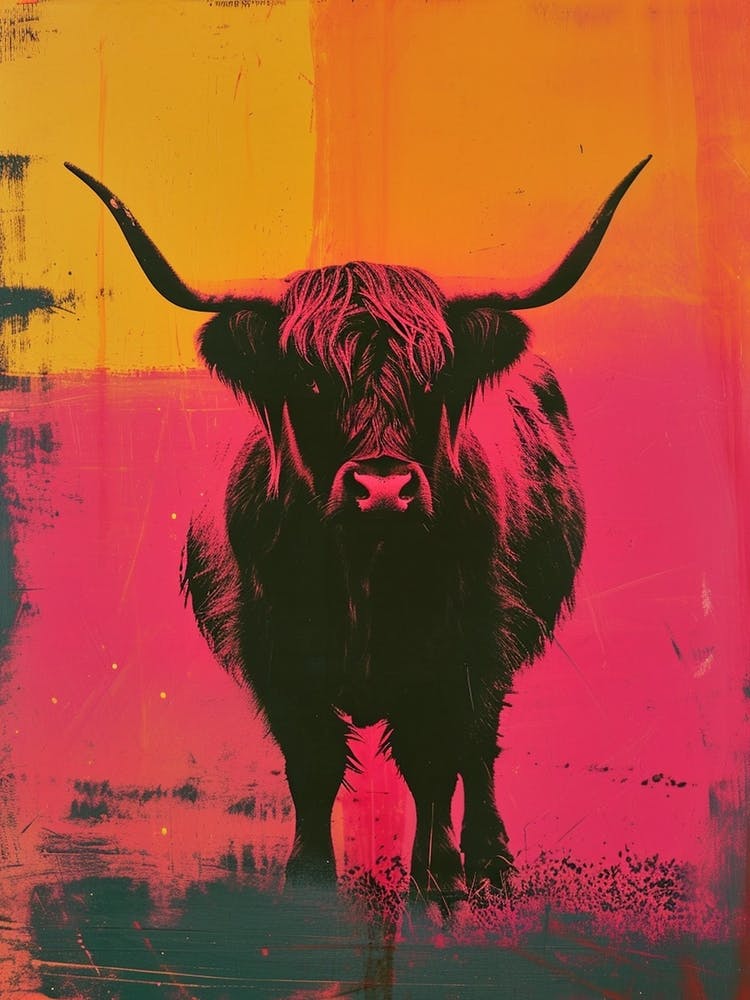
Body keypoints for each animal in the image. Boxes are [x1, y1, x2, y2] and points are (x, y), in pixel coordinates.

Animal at [66, 157, 650, 902]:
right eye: (310, 380)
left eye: (434, 378)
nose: (382, 490)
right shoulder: (276, 651)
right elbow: (313, 765)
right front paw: (308, 882)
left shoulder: (462, 645)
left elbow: (436, 760)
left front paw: (441, 878)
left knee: (478, 749)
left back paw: (488, 862)